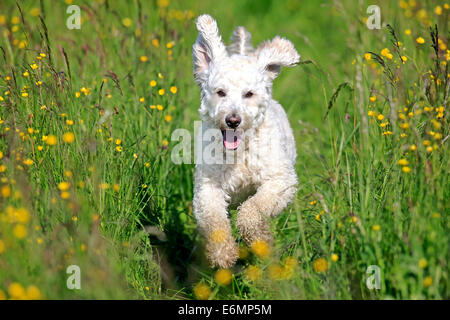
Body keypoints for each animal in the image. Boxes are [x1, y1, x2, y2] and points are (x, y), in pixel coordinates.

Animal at [192, 14, 300, 268]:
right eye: (220, 92)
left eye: (249, 94)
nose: (233, 120)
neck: (239, 153)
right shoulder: (207, 188)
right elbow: (215, 221)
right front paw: (223, 254)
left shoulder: (281, 181)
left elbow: (253, 210)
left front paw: (258, 237)